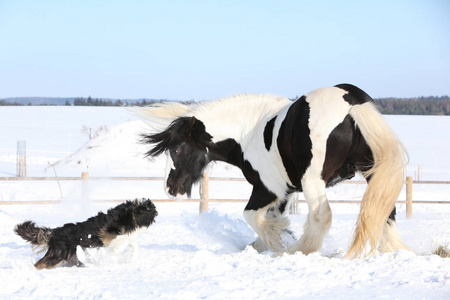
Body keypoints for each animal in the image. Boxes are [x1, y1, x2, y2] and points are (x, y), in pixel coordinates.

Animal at [14, 199, 158, 270]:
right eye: (150, 208)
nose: (156, 211)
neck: (130, 214)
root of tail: (54, 232)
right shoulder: (106, 236)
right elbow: (123, 240)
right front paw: (116, 251)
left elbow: (133, 244)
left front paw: (131, 258)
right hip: (58, 255)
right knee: (39, 264)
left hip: (68, 258)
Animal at [140, 84, 408, 258]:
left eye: (176, 150)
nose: (170, 188)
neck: (247, 132)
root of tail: (351, 102)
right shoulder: (284, 192)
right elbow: (269, 219)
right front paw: (268, 241)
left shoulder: (267, 189)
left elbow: (252, 216)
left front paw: (278, 244)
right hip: (373, 171)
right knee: (385, 208)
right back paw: (394, 250)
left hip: (314, 181)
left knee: (322, 216)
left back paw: (298, 250)